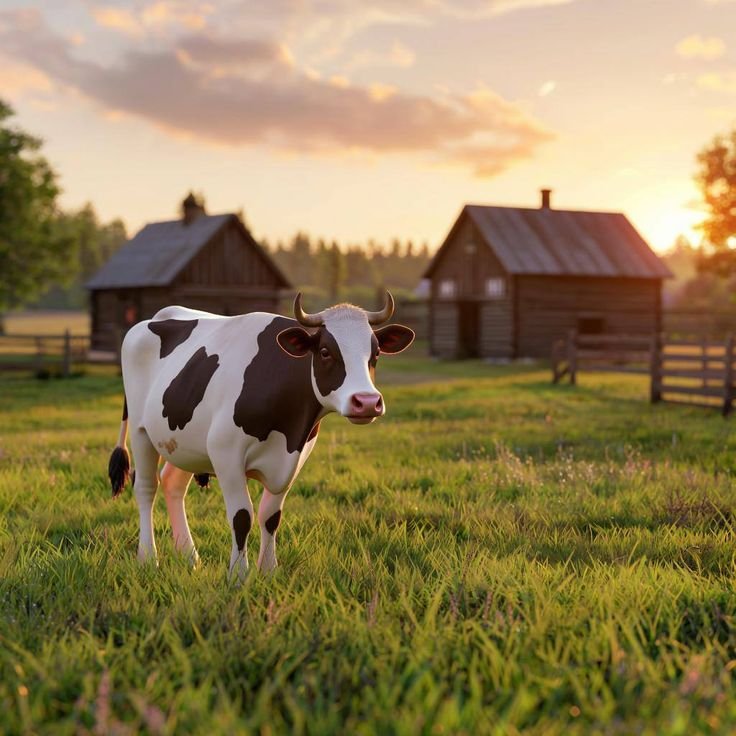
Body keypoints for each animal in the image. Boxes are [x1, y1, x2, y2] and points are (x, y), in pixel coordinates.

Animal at [107, 292, 414, 579]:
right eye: (326, 351)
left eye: (376, 353)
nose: (367, 401)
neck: (289, 429)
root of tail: (155, 317)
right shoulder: (224, 452)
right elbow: (242, 516)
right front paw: (238, 576)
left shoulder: (295, 457)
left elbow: (271, 517)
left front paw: (268, 571)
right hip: (141, 431)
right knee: (146, 488)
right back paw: (148, 558)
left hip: (185, 444)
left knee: (172, 483)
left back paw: (189, 557)